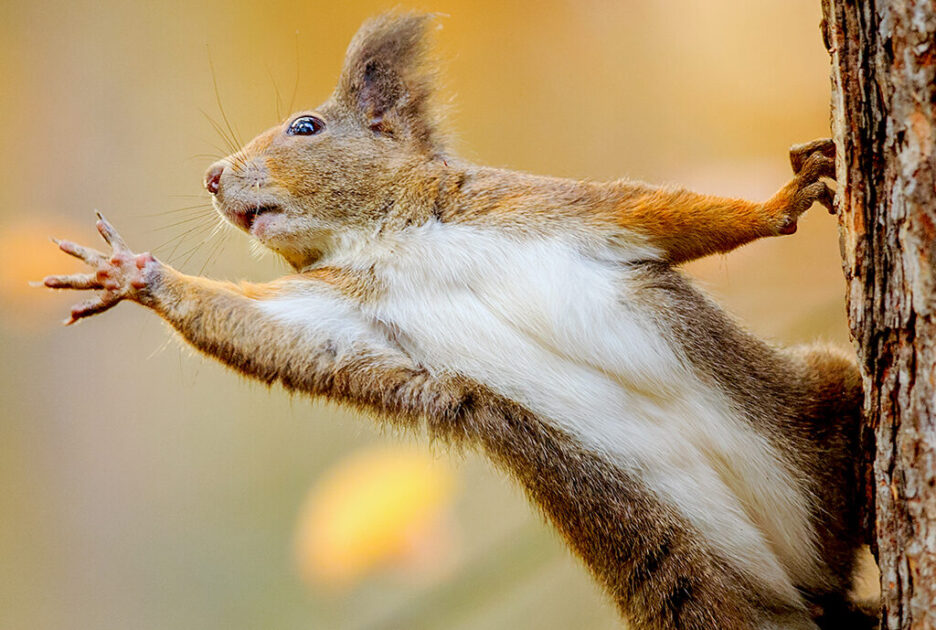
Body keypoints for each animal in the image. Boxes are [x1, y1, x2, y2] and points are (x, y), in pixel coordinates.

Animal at [44, 12, 875, 630]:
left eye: (307, 127)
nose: (213, 177)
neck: (392, 239)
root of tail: (809, 590)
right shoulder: (345, 315)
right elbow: (267, 333)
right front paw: (136, 276)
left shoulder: (544, 207)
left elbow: (659, 213)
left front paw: (780, 203)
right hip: (699, 596)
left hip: (816, 404)